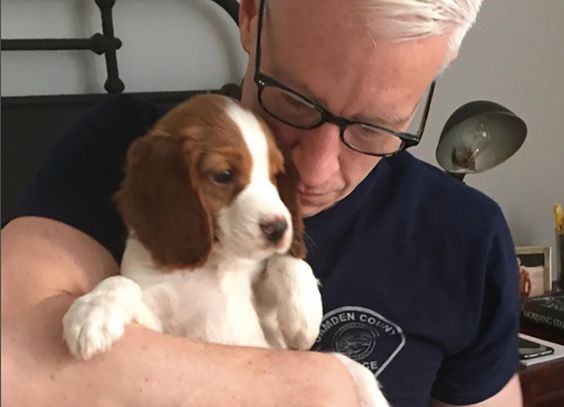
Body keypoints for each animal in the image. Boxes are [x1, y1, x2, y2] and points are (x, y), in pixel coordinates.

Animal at [61, 94, 388, 406]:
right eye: (223, 175)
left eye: (275, 174)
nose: (279, 228)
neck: (217, 263)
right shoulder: (160, 327)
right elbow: (122, 283)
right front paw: (92, 312)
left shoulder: (270, 328)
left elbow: (287, 262)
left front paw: (303, 318)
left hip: (348, 366)